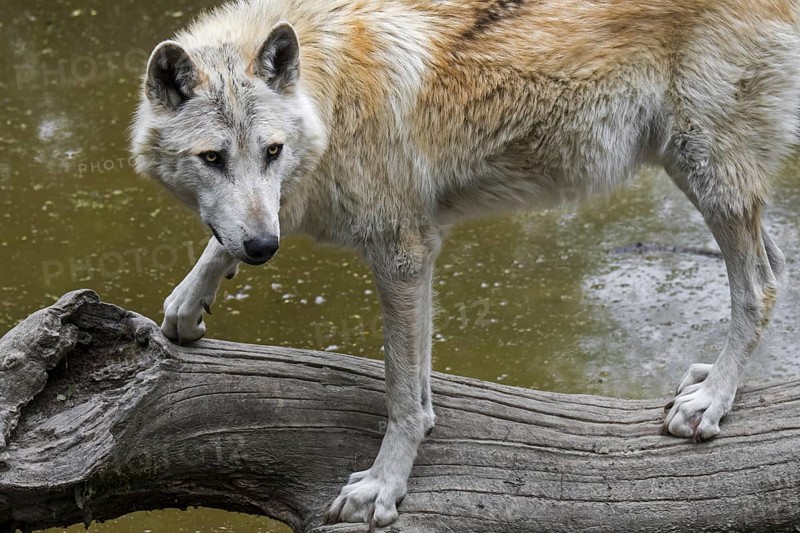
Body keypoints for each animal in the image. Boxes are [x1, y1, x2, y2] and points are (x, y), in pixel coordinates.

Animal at [131, 0, 800, 527]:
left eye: (272, 151)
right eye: (212, 158)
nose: (265, 253)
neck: (333, 94)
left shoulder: (401, 253)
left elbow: (401, 393)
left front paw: (383, 487)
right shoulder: (397, 248)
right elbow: (226, 245)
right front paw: (186, 308)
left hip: (706, 174)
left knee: (761, 285)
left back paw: (711, 401)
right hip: (697, 174)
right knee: (776, 264)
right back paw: (710, 379)